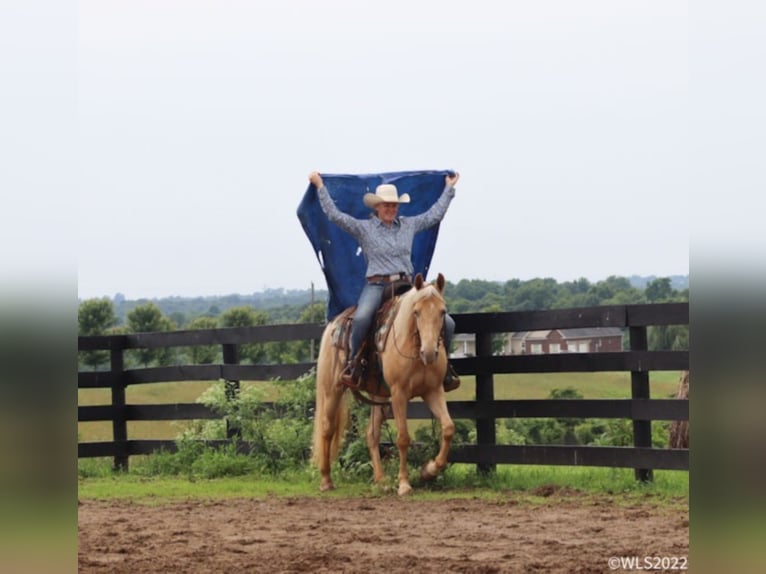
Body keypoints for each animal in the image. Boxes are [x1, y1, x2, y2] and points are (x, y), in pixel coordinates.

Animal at [312, 274, 456, 496]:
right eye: (416, 312)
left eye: (442, 312)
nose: (430, 352)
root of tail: (333, 324)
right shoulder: (399, 394)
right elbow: (403, 438)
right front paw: (404, 484)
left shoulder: (434, 391)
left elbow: (448, 428)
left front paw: (429, 470)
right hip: (332, 388)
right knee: (327, 428)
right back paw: (326, 479)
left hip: (378, 393)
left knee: (372, 434)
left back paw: (380, 480)